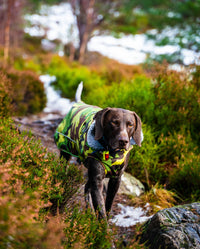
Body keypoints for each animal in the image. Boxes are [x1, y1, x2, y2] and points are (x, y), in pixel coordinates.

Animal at [54, 83, 142, 220]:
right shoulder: (97, 179)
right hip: (66, 152)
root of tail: (79, 102)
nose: (123, 141)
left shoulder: (116, 180)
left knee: (86, 188)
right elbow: (101, 210)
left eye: (130, 124)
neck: (112, 153)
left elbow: (108, 204)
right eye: (114, 122)